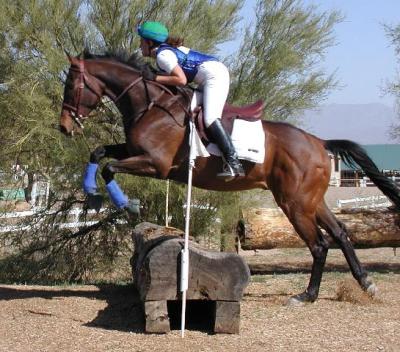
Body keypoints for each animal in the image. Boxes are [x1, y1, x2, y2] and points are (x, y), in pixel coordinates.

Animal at [59, 52, 400, 306]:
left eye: (72, 84)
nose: (64, 127)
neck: (151, 105)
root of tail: (320, 142)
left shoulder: (155, 164)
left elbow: (110, 167)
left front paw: (125, 204)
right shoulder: (133, 151)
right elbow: (98, 152)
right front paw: (92, 193)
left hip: (294, 203)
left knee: (319, 245)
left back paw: (307, 295)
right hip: (312, 201)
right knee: (340, 233)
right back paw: (366, 283)